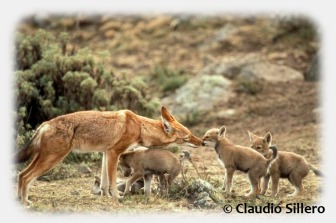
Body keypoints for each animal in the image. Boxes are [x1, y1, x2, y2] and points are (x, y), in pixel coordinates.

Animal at [16, 106, 202, 206]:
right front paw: (117, 197)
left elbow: (104, 182)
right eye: (187, 137)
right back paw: (25, 203)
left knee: (21, 174)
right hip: (52, 160)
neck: (139, 126)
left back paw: (19, 200)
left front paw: (105, 196)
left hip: (45, 159)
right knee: (26, 177)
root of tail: (45, 124)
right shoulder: (114, 153)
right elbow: (112, 181)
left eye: (191, 134)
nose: (202, 142)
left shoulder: (106, 153)